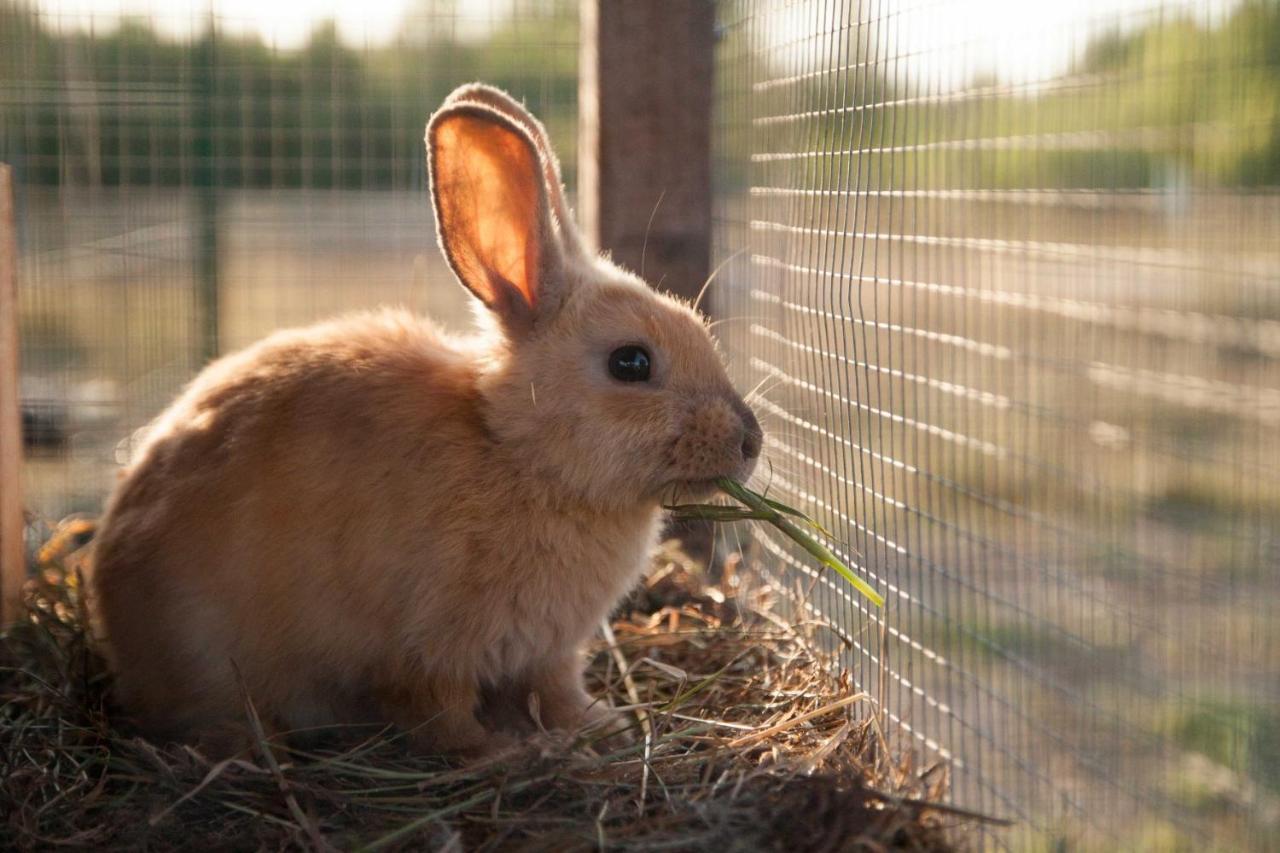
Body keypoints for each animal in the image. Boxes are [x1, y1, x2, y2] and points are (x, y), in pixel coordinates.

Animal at [92, 83, 768, 753]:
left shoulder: (548, 653)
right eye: (631, 362)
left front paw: (602, 726)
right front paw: (500, 754)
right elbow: (440, 713)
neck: (516, 454)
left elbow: (557, 693)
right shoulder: (425, 650)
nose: (750, 441)